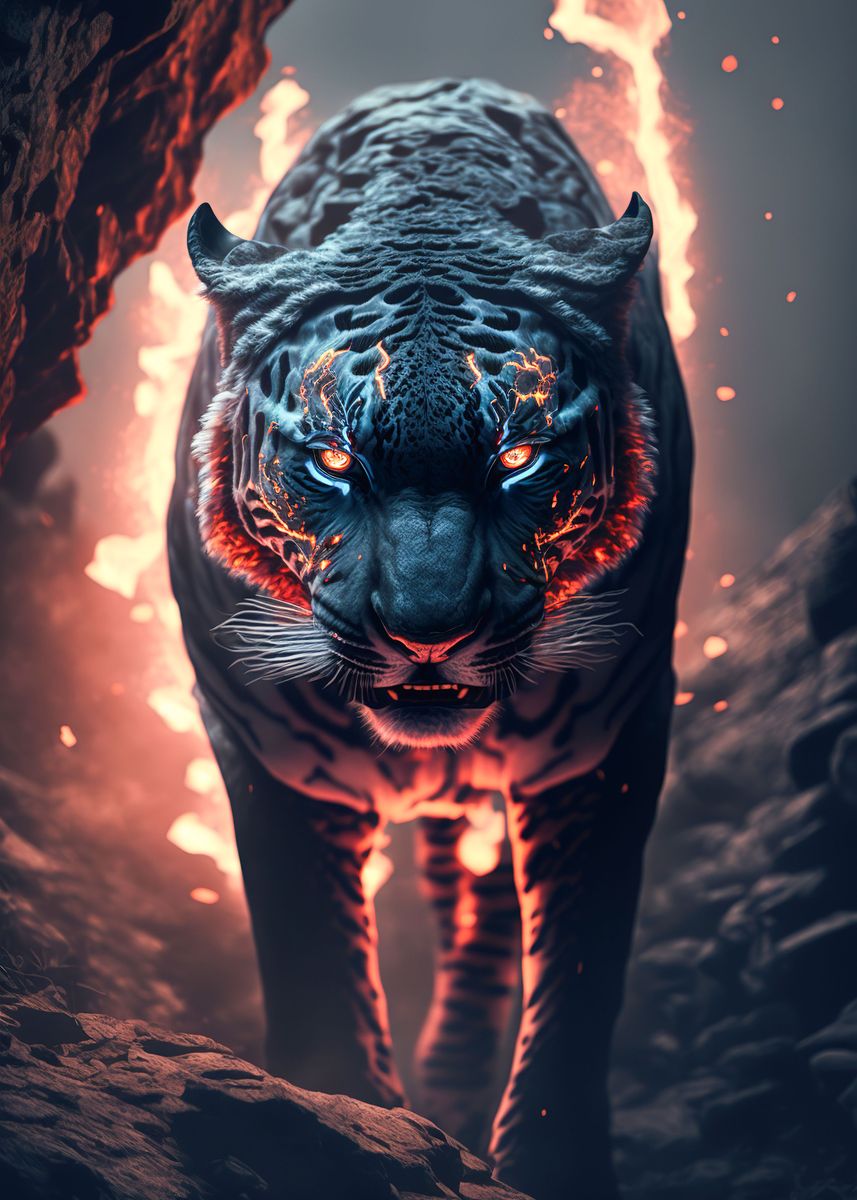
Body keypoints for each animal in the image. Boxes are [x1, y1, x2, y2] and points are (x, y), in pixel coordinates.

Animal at [168, 78, 692, 1200]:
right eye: (331, 461)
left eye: (518, 456)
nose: (426, 632)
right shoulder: (265, 745)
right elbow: (313, 954)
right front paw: (341, 1125)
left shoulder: (608, 734)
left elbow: (578, 975)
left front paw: (545, 1162)